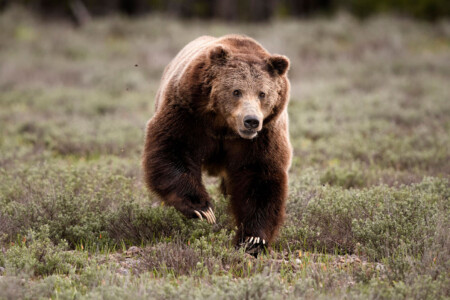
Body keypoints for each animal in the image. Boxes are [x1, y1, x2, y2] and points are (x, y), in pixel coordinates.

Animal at [143, 34, 292, 255]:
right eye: (236, 91)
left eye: (262, 93)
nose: (251, 121)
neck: (224, 127)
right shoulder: (187, 113)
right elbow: (172, 149)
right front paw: (203, 209)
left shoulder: (262, 136)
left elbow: (259, 176)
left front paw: (253, 239)